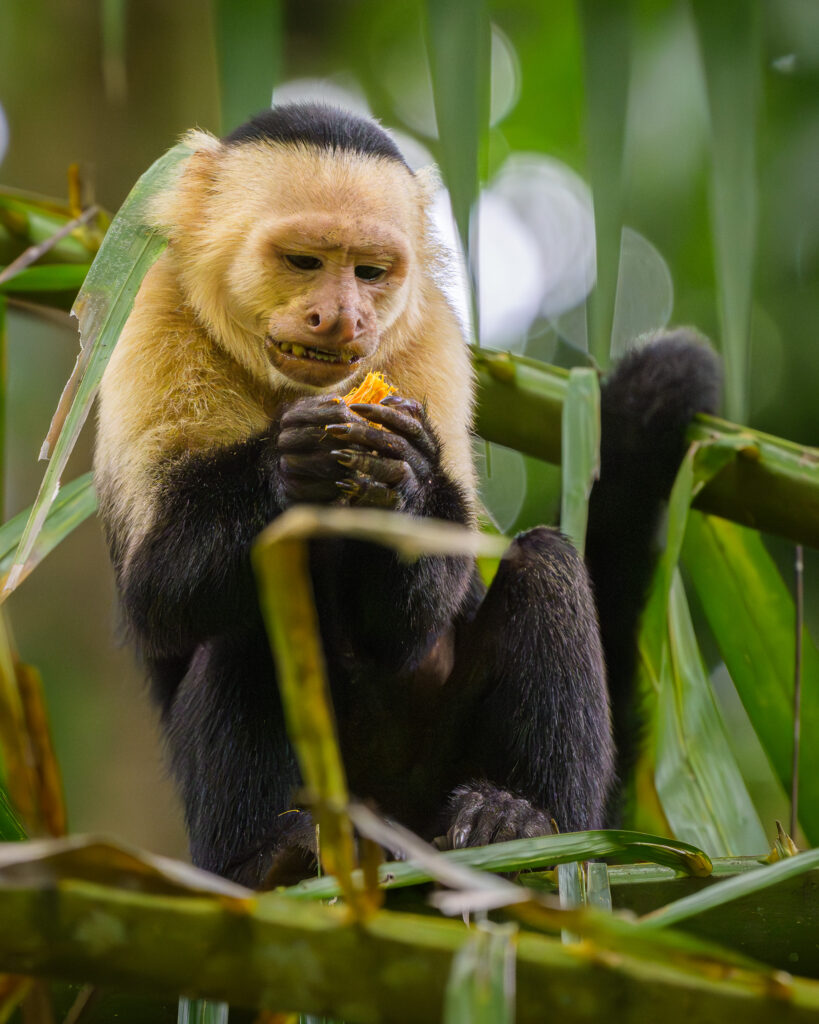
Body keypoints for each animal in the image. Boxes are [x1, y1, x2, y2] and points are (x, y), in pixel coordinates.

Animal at [94, 104, 720, 887]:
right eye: (303, 261)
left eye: (369, 272)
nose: (343, 317)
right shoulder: (154, 314)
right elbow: (156, 591)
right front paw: (287, 467)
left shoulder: (430, 337)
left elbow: (415, 613)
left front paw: (408, 481)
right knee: (254, 599)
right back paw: (272, 857)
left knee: (545, 564)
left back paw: (526, 819)